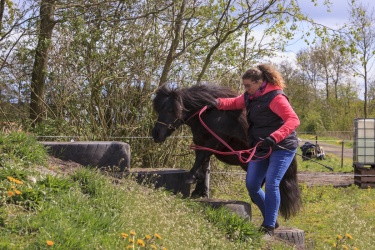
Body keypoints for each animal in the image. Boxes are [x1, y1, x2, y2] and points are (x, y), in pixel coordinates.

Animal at [151, 83, 302, 219]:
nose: (156, 134)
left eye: (171, 110)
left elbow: (201, 158)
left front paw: (191, 178)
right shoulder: (200, 143)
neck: (211, 116)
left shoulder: (215, 141)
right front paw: (199, 190)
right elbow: (203, 162)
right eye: (159, 110)